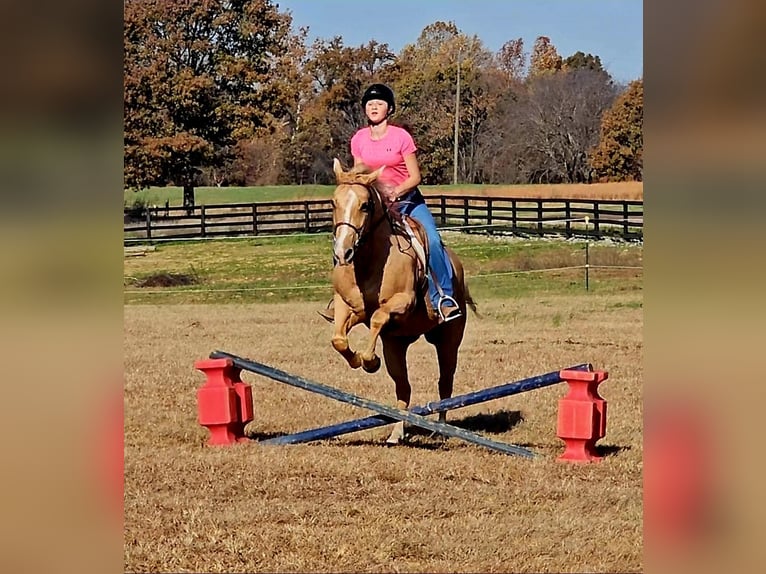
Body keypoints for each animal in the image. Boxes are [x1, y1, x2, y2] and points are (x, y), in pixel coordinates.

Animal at [327, 158, 476, 444]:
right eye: (333, 202)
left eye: (365, 205)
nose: (342, 253)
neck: (367, 261)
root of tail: (457, 265)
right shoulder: (346, 306)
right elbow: (338, 339)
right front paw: (357, 359)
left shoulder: (402, 303)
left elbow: (377, 317)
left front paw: (369, 361)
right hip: (396, 344)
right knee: (403, 387)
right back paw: (397, 433)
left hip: (448, 339)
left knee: (445, 382)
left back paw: (442, 429)